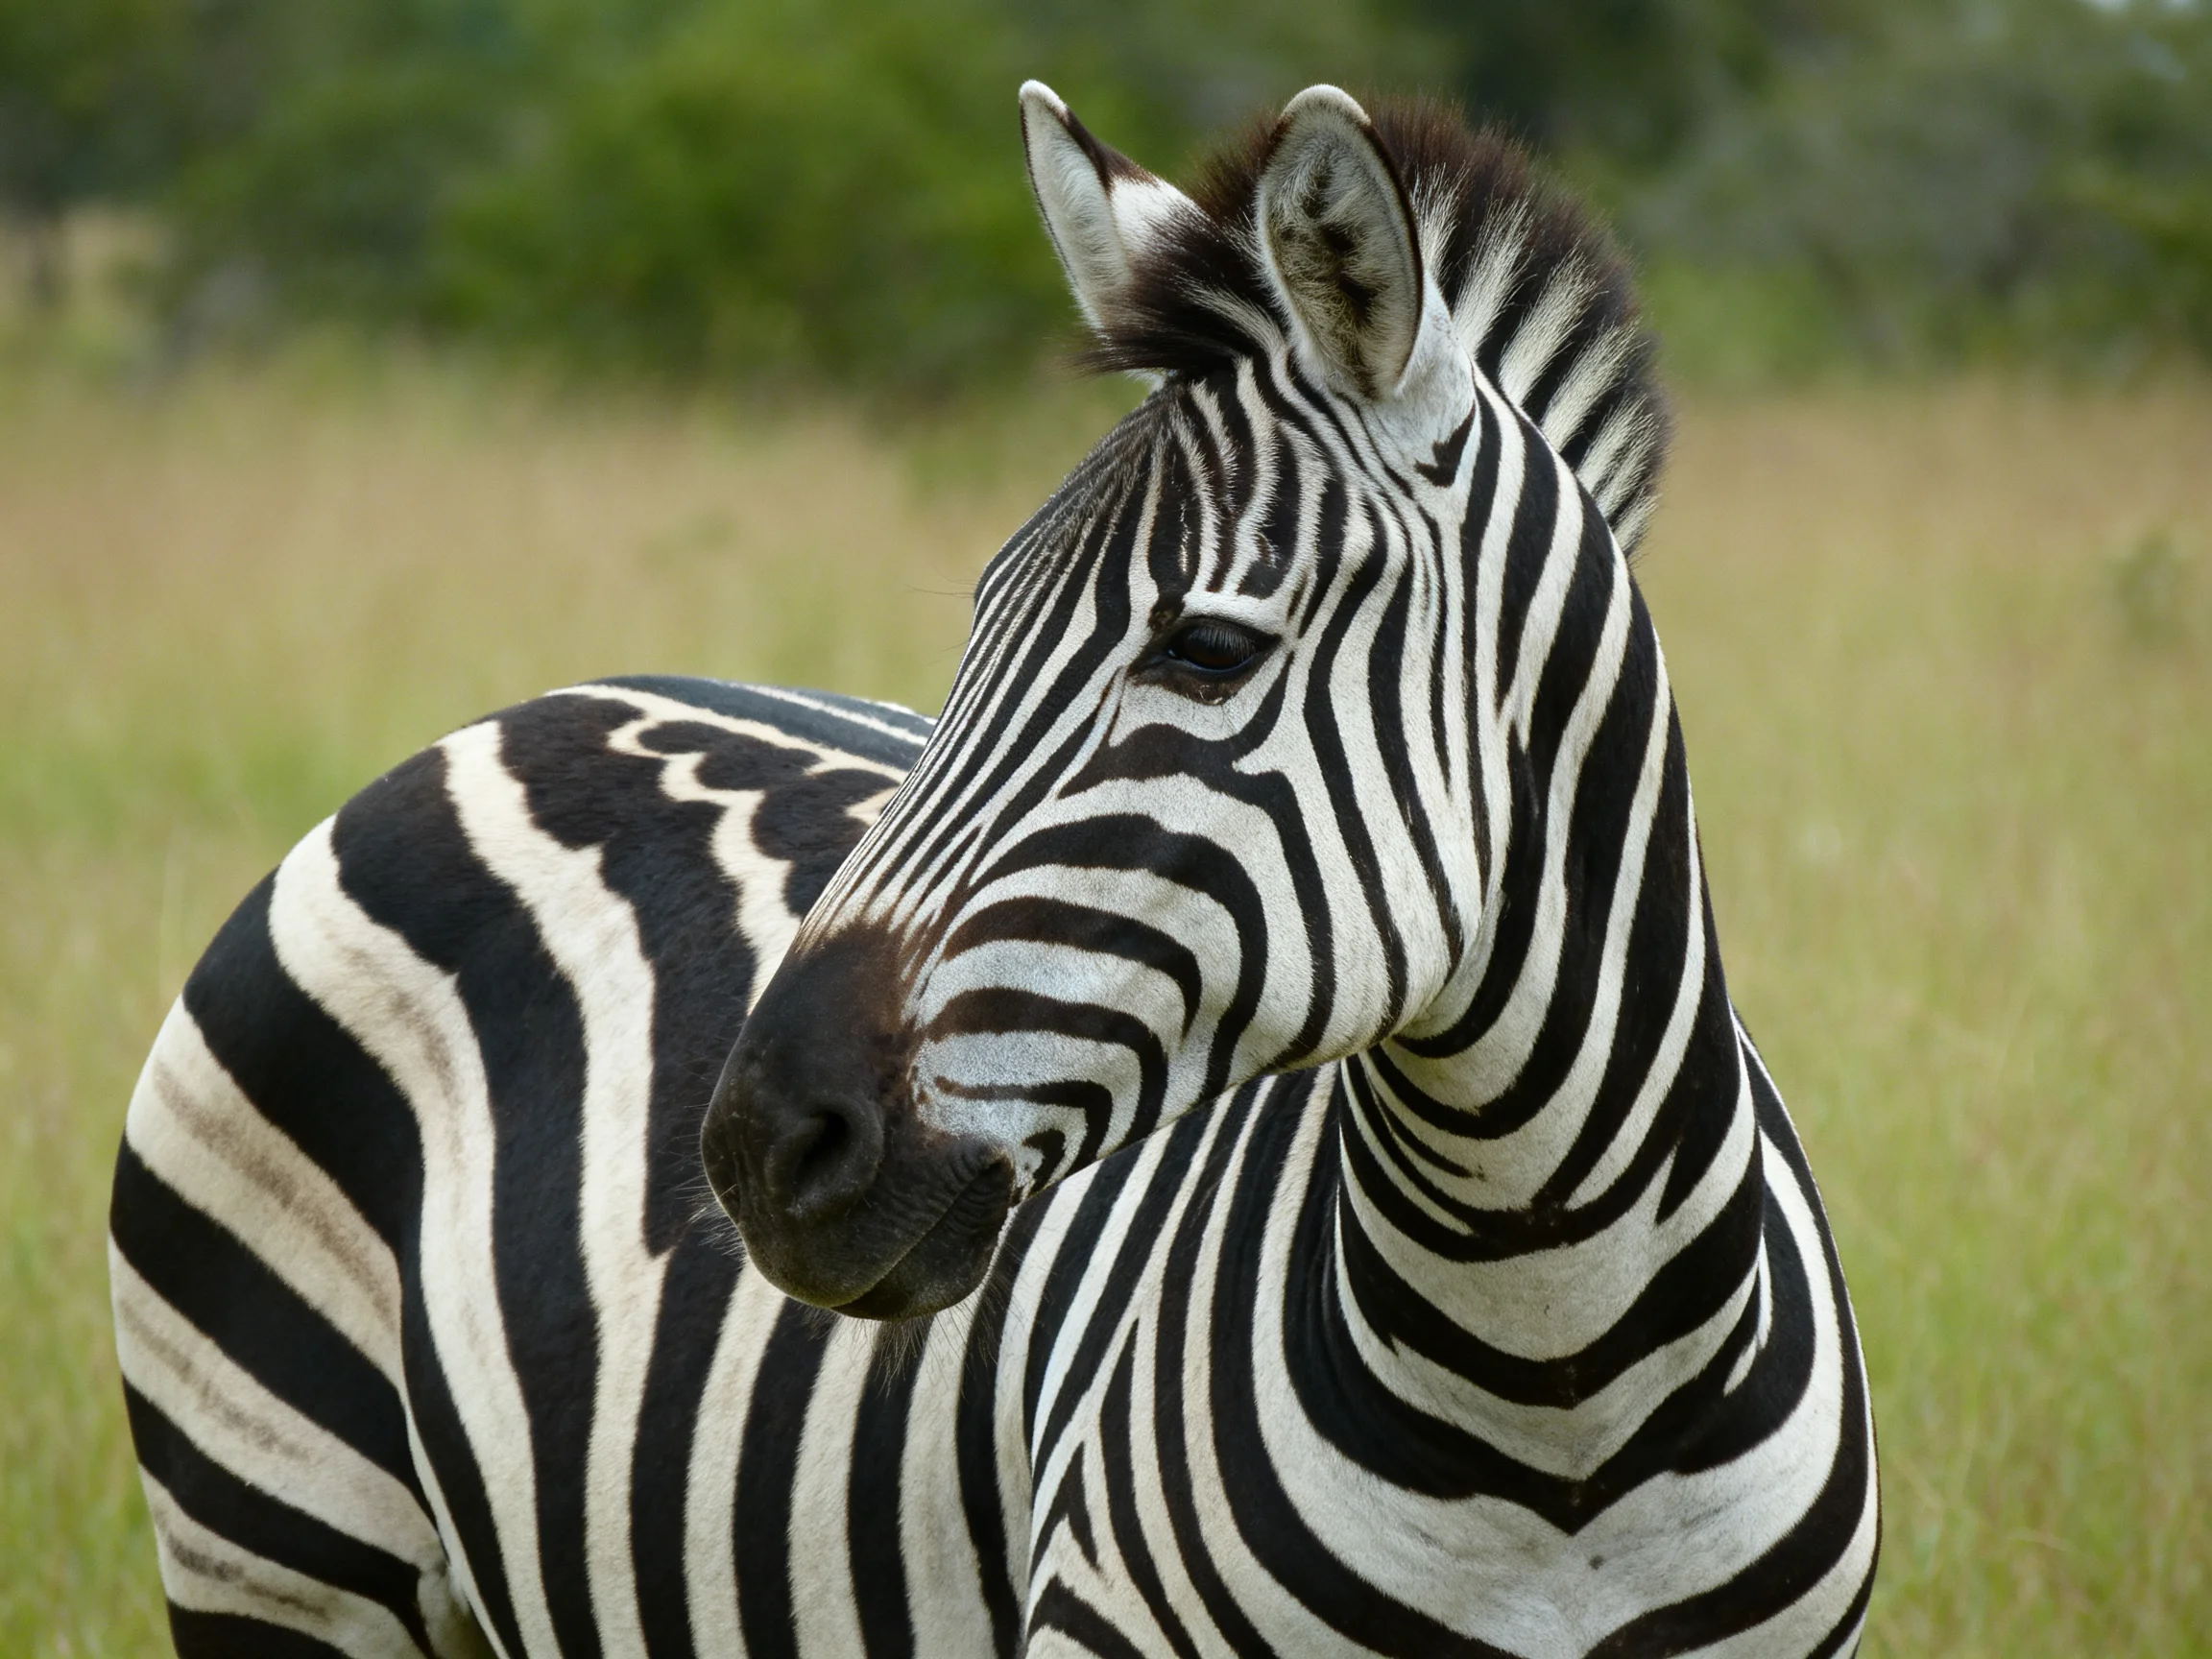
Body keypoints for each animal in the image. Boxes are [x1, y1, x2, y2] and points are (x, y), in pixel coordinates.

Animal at [111, 81, 1878, 1659]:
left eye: (1207, 648)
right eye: (975, 622)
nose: (752, 1147)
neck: (1561, 1394)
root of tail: (515, 715)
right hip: (269, 1541)